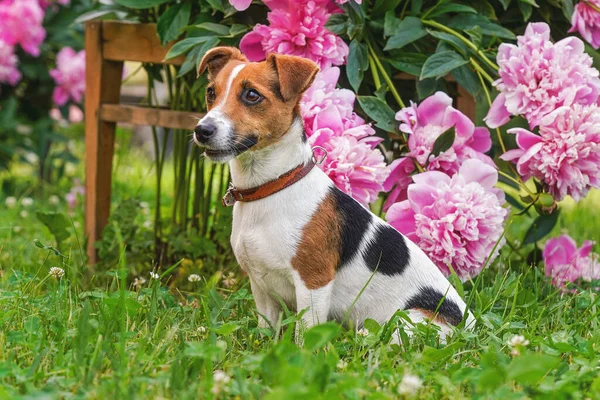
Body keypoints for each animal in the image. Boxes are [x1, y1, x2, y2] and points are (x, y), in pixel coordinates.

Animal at [195, 47, 476, 340]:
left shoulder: (313, 282)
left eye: (252, 95)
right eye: (211, 93)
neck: (271, 186)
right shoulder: (261, 287)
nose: (202, 130)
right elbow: (266, 331)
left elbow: (304, 334)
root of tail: (470, 326)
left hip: (408, 322)